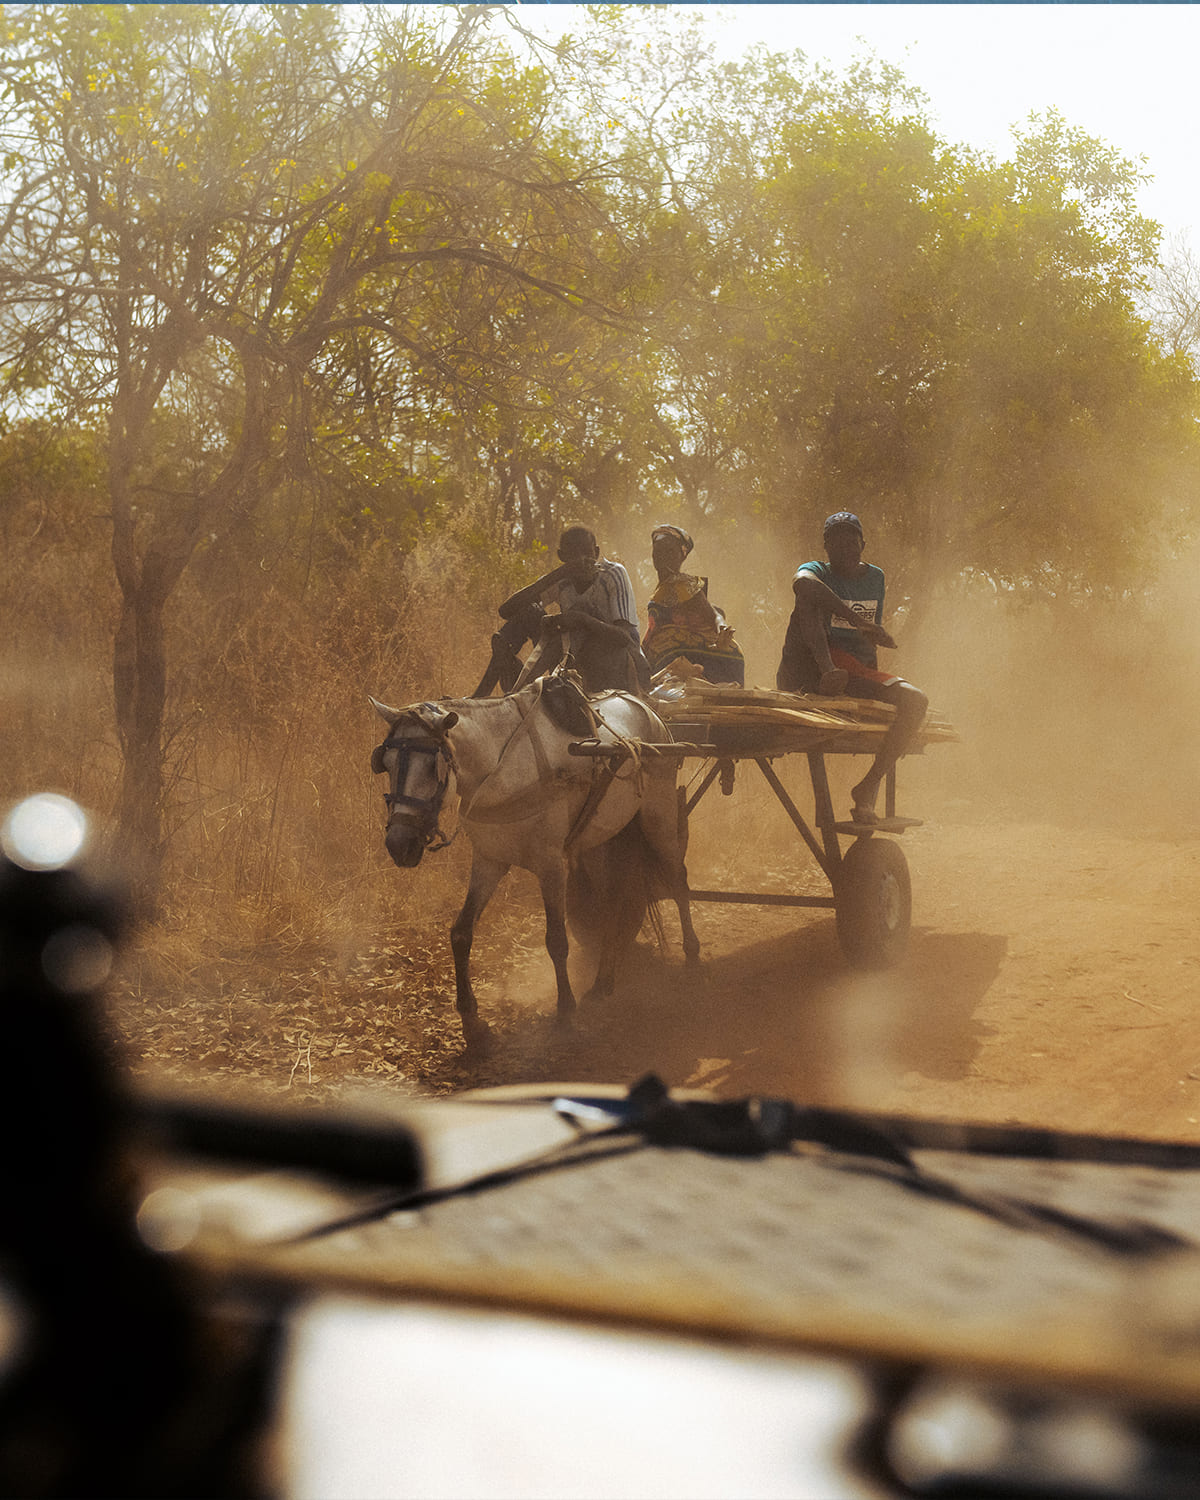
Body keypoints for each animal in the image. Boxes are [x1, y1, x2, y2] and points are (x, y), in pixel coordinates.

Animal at [370, 675, 699, 1050]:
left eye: (432, 766)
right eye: (386, 762)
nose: (399, 844)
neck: (502, 771)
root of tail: (644, 704)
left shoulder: (552, 865)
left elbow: (556, 939)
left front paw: (565, 1010)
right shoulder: (489, 861)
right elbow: (461, 933)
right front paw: (471, 1020)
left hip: (659, 814)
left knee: (678, 879)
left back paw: (691, 954)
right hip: (602, 836)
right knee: (612, 900)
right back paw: (603, 981)